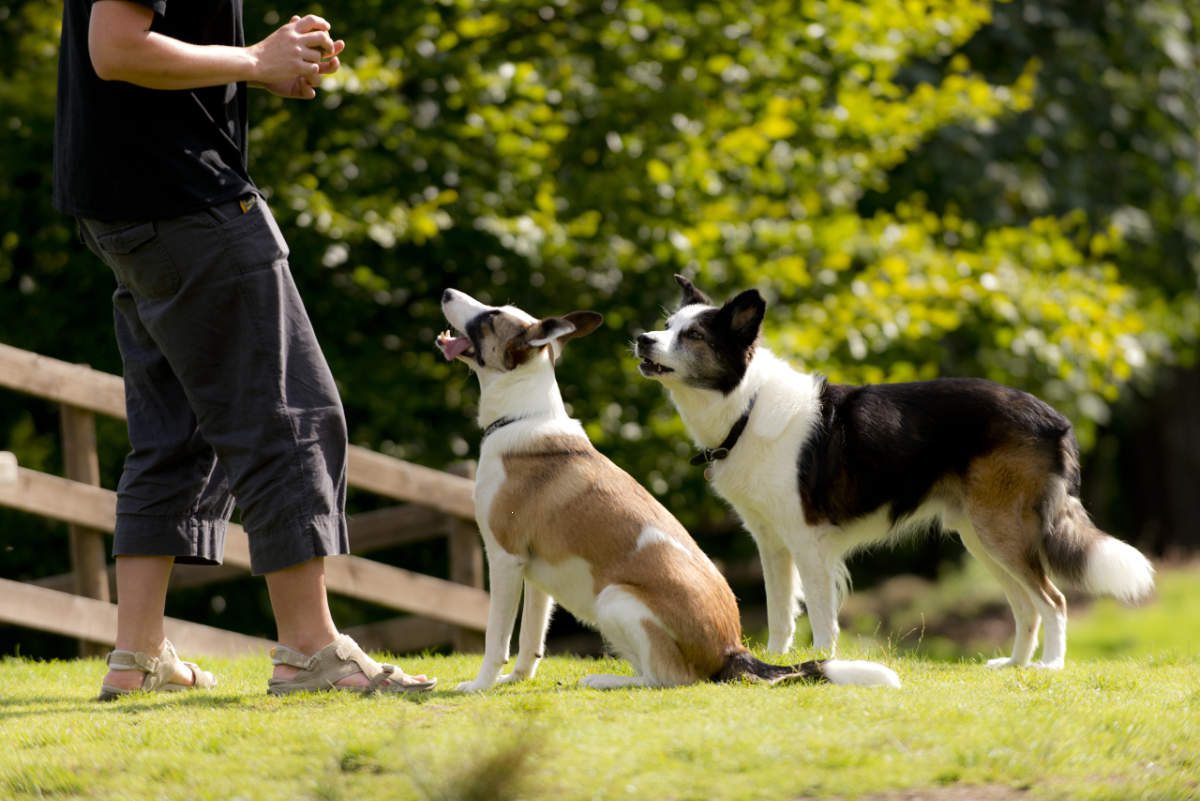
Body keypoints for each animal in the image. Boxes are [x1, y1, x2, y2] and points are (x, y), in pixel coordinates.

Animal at [436, 287, 897, 690]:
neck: (522, 417)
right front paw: (514, 682)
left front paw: (479, 686)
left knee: (666, 678)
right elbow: (531, 643)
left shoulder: (505, 560)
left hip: (614, 599)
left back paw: (604, 680)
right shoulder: (535, 575)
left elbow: (496, 640)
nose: (446, 292)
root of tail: (733, 650)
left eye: (491, 317)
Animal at [633, 275, 1156, 671]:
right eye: (666, 326)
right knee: (1027, 604)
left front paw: (821, 663)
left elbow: (820, 614)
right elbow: (780, 612)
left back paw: (1049, 666)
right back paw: (1015, 665)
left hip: (1001, 531)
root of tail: (1054, 418)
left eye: (694, 336)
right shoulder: (772, 543)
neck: (746, 405)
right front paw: (776, 661)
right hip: (983, 536)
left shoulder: (808, 542)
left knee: (1053, 600)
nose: (641, 339)